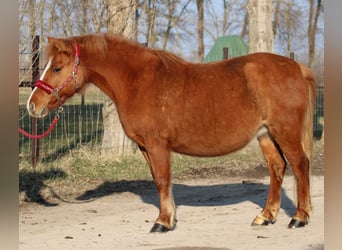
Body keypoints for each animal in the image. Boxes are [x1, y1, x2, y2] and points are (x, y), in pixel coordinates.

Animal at [26, 33, 316, 232]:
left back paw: (299, 218)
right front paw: (168, 218)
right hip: (266, 135)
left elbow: (163, 180)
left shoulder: (157, 145)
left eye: (57, 68)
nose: (32, 105)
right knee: (278, 167)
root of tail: (297, 68)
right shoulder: (145, 147)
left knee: (300, 165)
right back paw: (266, 216)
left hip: (285, 132)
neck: (138, 82)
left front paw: (163, 222)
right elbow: (158, 179)